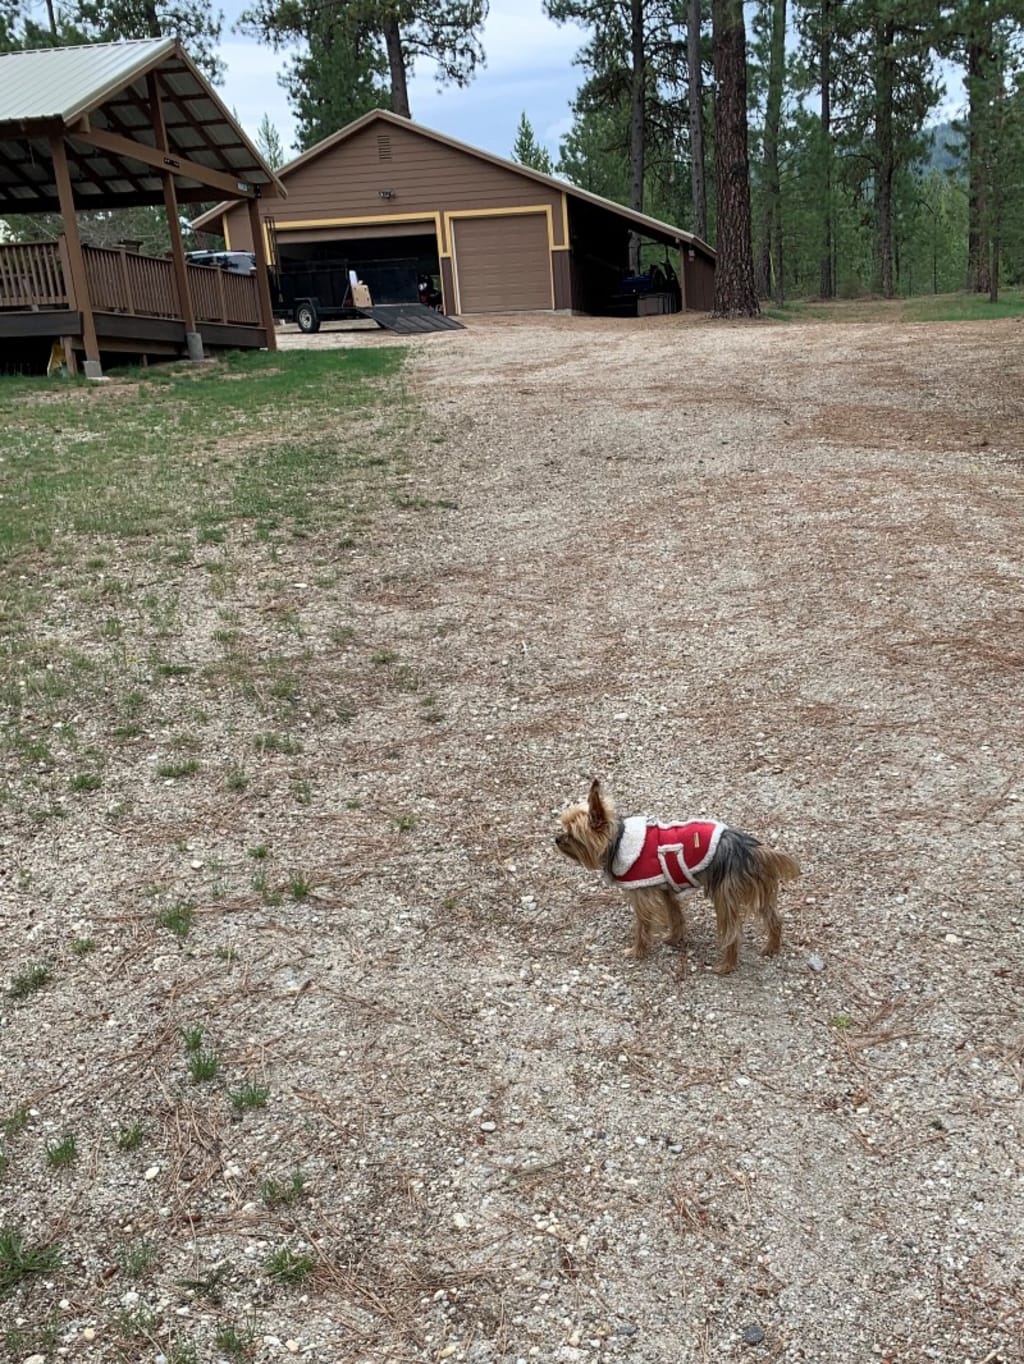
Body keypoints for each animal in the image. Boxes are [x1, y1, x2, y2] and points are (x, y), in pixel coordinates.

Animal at [556, 780, 807, 971]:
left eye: (572, 835)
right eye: (564, 826)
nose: (557, 839)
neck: (618, 840)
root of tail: (748, 848)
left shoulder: (641, 895)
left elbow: (643, 925)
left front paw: (637, 951)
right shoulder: (666, 889)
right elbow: (675, 915)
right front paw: (674, 939)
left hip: (724, 895)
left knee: (733, 933)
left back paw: (725, 966)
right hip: (758, 888)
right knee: (773, 918)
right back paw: (771, 948)